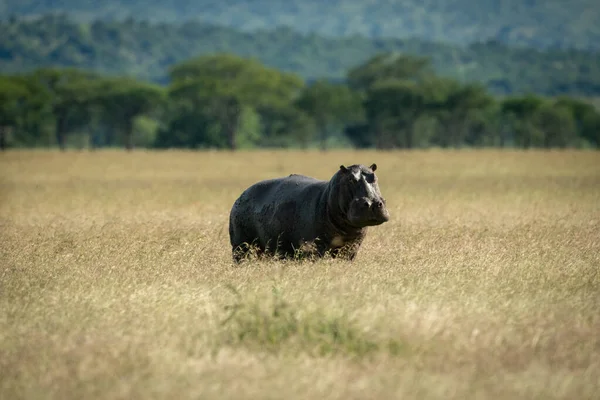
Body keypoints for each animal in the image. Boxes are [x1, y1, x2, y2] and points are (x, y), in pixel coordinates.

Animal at [229, 162, 390, 262]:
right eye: (350, 179)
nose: (372, 203)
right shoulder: (315, 246)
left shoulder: (351, 247)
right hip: (241, 246)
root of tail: (242, 195)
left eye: (374, 177)